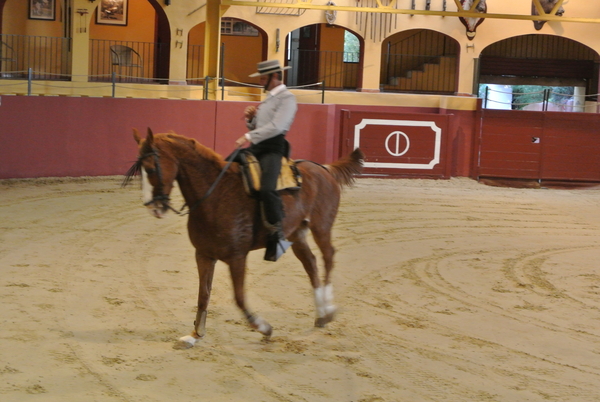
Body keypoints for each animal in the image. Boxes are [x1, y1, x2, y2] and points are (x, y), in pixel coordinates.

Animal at [124, 130, 364, 348]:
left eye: (150, 168)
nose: (154, 207)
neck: (215, 195)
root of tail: (323, 169)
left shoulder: (237, 257)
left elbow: (239, 298)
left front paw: (265, 328)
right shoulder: (203, 255)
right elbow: (203, 295)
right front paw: (195, 335)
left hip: (321, 226)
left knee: (328, 257)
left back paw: (329, 309)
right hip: (296, 233)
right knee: (311, 263)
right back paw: (321, 313)